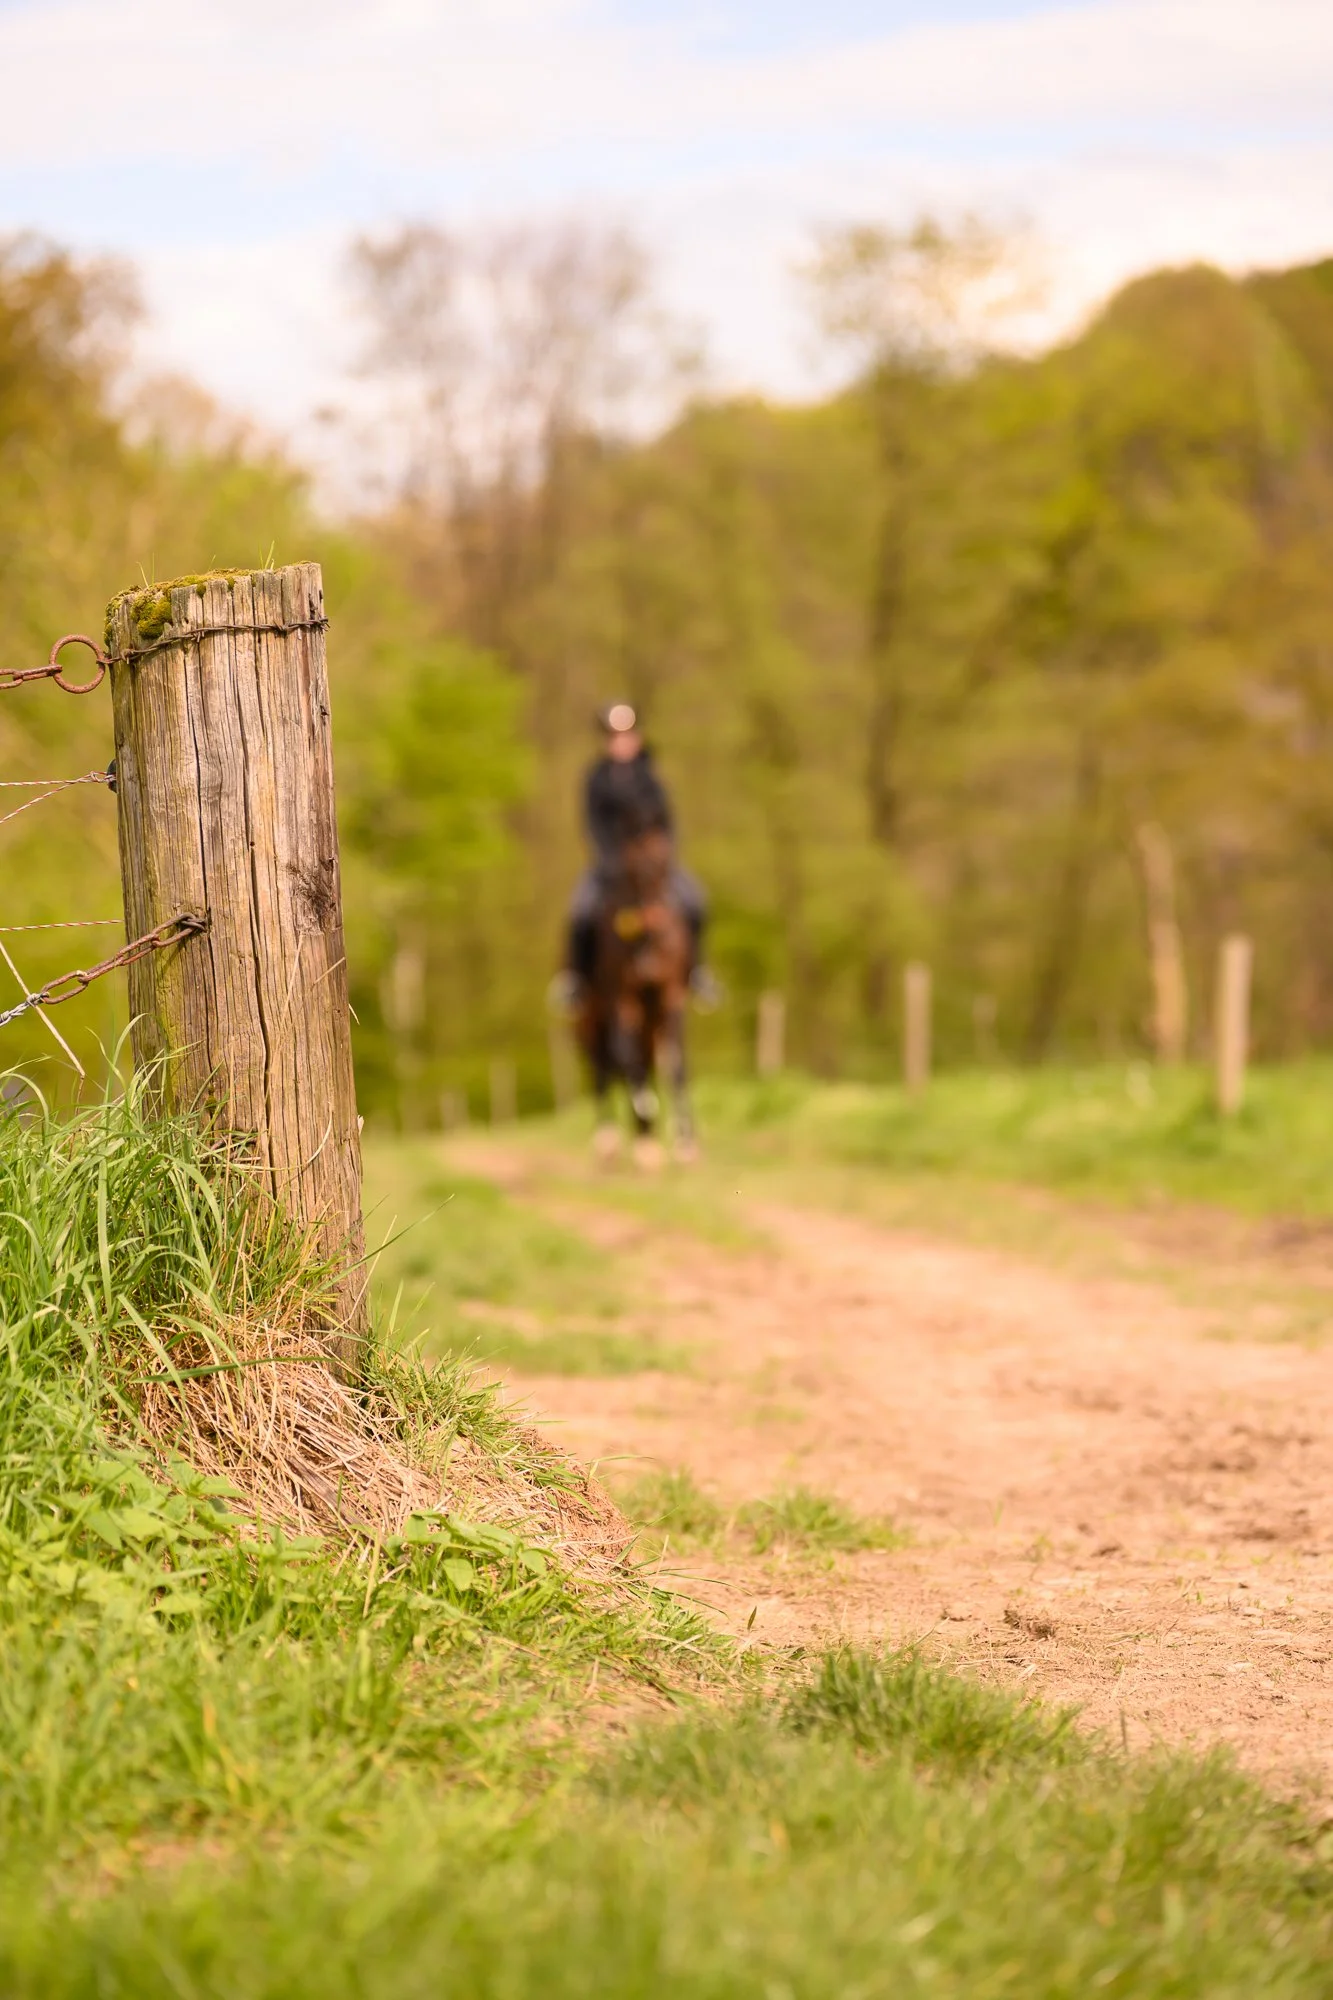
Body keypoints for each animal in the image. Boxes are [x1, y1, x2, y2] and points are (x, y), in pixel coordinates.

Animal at [576, 827, 697, 1166]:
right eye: (637, 875)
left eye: (666, 867)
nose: (658, 924)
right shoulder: (622, 1002)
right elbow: (629, 1065)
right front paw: (646, 1114)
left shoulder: (671, 999)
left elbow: (676, 1066)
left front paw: (685, 1143)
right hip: (592, 1024)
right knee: (605, 1071)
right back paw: (611, 1141)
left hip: (647, 1027)